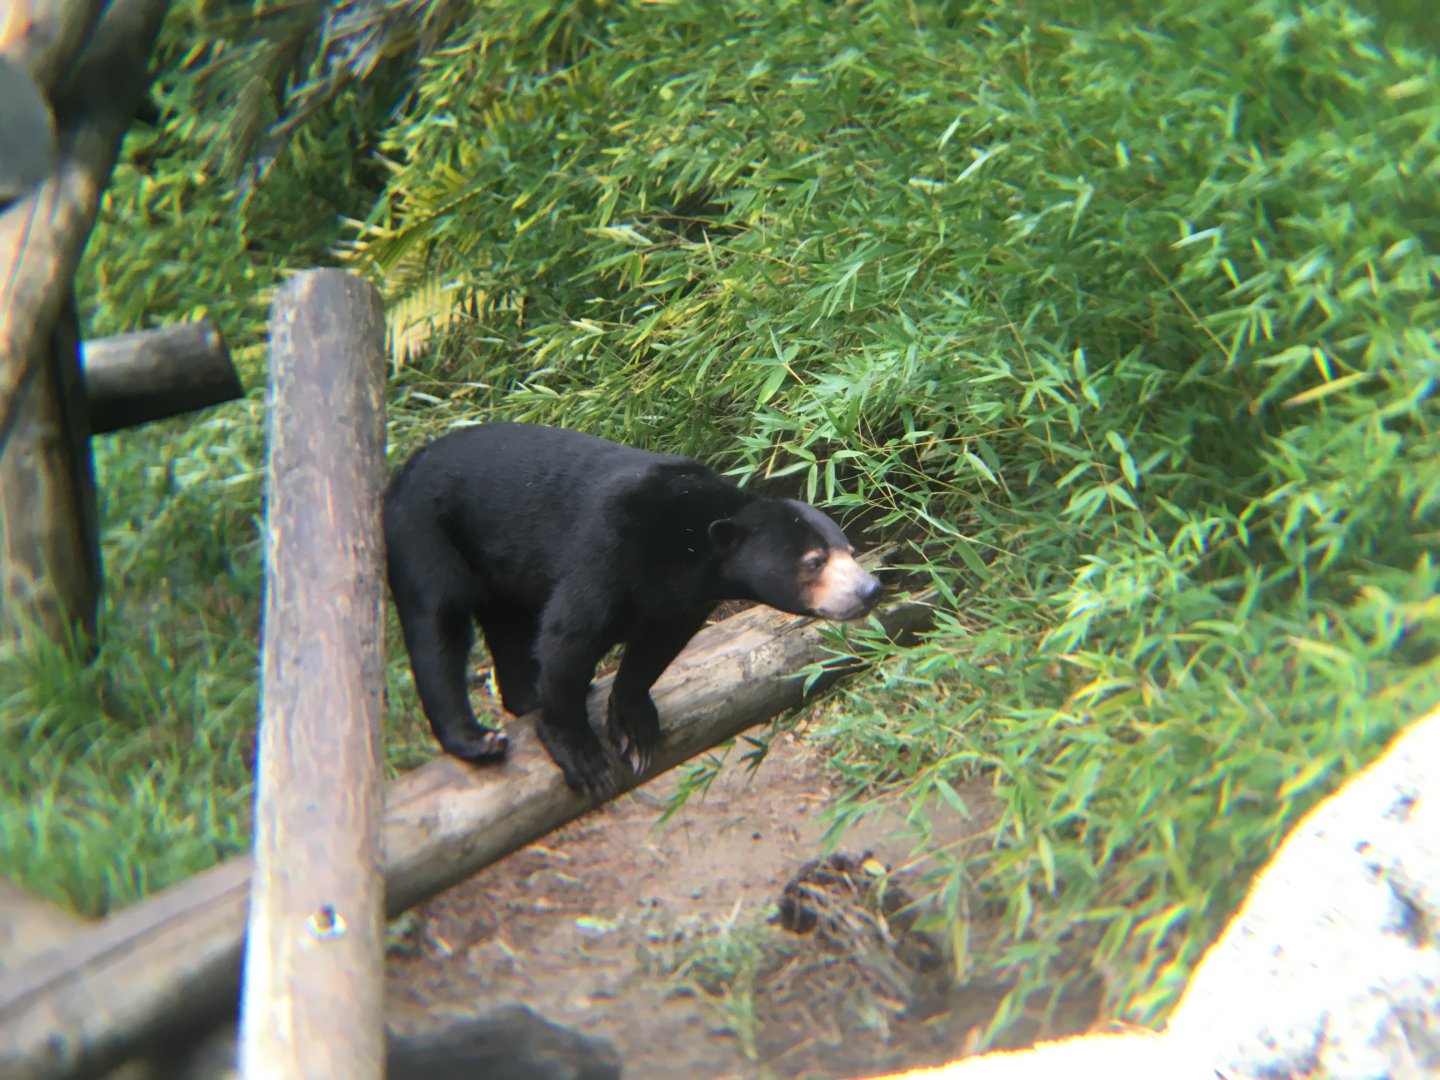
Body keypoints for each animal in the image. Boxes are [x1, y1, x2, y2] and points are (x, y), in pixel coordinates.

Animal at [382, 421, 882, 797]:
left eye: (850, 550)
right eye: (814, 562)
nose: (870, 589)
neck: (685, 549)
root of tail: (407, 464)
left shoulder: (682, 602)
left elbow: (654, 650)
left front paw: (635, 729)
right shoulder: (609, 546)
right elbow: (570, 635)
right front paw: (583, 757)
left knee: (507, 626)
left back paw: (524, 696)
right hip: (425, 532)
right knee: (438, 625)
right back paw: (476, 738)